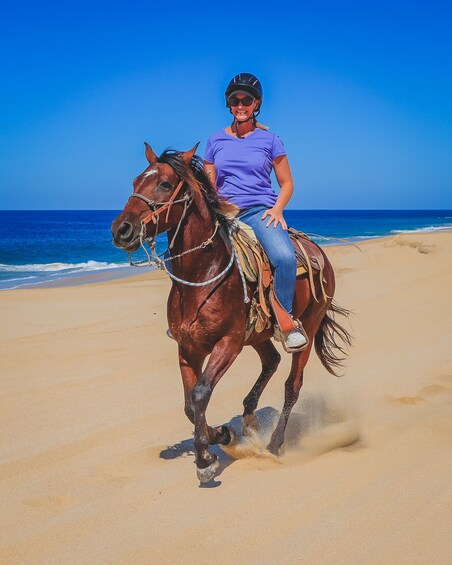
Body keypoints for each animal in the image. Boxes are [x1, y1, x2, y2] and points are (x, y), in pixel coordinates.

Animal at [111, 143, 352, 482]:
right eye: (135, 181)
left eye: (165, 184)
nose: (122, 229)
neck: (202, 276)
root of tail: (319, 252)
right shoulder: (189, 347)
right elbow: (189, 405)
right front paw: (223, 435)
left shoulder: (229, 343)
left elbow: (200, 394)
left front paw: (205, 460)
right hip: (258, 334)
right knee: (271, 361)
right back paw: (249, 420)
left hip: (308, 326)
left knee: (292, 386)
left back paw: (274, 445)